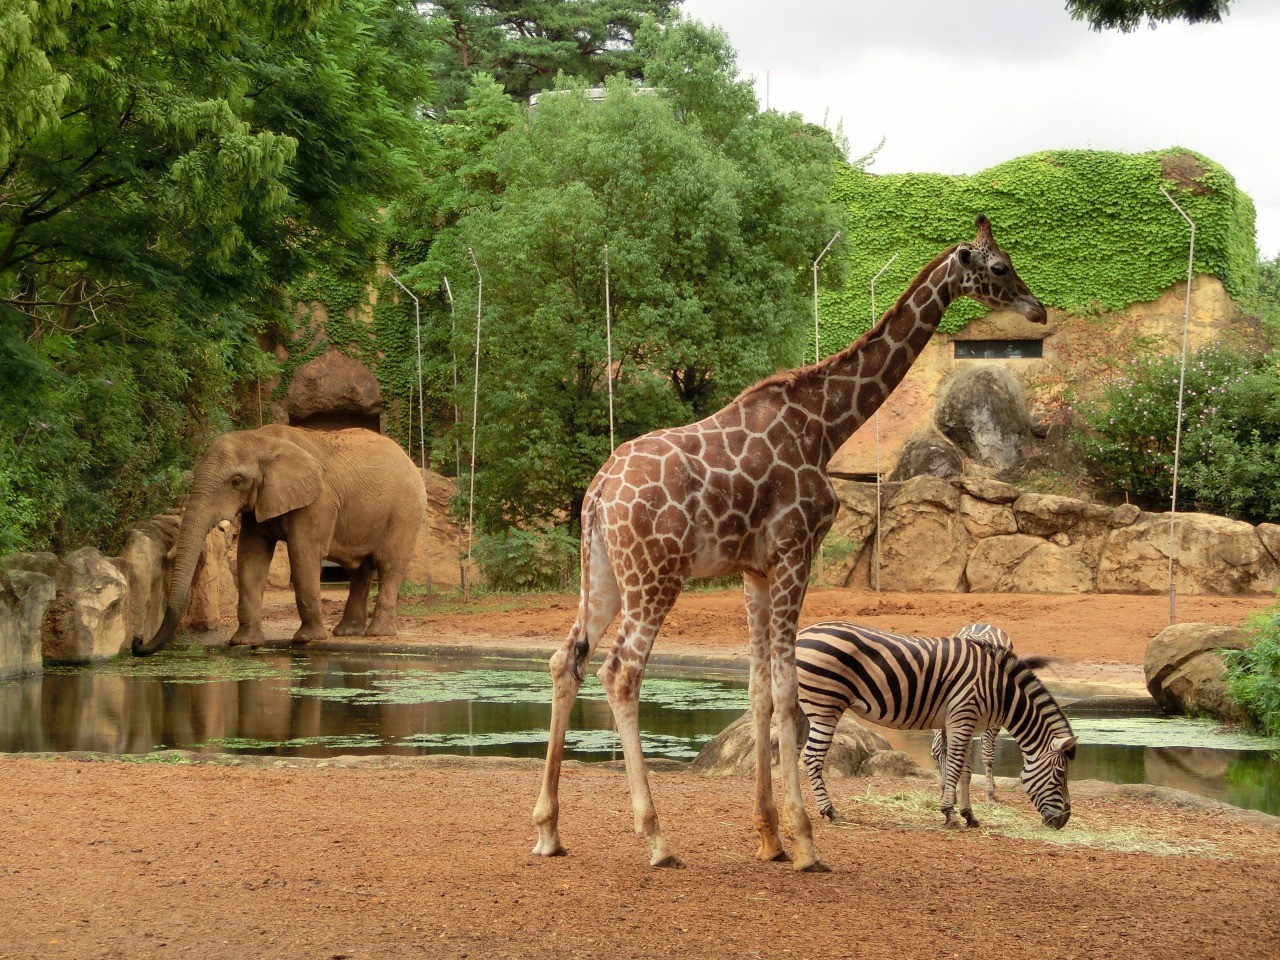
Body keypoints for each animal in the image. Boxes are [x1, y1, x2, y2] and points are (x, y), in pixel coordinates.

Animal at [134, 427, 427, 660]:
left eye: (236, 481)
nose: (137, 642)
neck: (261, 439)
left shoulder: (317, 501)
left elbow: (303, 552)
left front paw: (307, 639)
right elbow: (251, 556)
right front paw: (244, 642)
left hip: (405, 512)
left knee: (389, 566)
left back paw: (378, 633)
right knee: (360, 571)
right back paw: (347, 633)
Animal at [535, 216, 1044, 870]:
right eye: (1000, 266)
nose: (1037, 310)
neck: (826, 424)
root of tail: (599, 492)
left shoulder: (755, 569)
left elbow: (758, 694)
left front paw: (769, 837)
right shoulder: (794, 552)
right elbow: (788, 699)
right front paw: (804, 842)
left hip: (602, 573)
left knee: (565, 659)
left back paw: (548, 829)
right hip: (655, 576)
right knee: (621, 673)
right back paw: (656, 838)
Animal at [793, 624, 1075, 834]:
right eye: (1061, 773)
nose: (1064, 820)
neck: (999, 688)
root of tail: (801, 634)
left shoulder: (962, 722)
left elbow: (965, 772)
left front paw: (969, 815)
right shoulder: (962, 717)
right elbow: (955, 768)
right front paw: (950, 814)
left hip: (800, 708)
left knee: (794, 753)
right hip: (825, 705)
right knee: (812, 757)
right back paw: (830, 811)